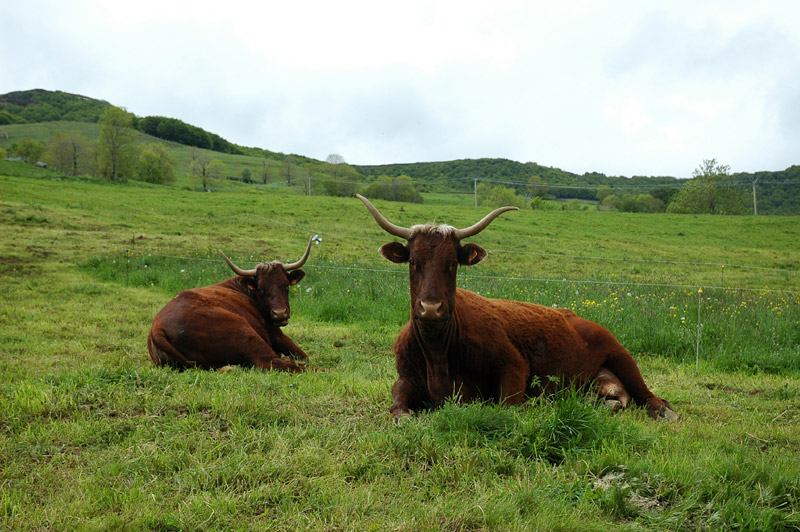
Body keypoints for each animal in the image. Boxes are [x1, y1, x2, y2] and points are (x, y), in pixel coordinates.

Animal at [147, 235, 316, 372]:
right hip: (242, 330)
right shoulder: (276, 335)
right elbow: (304, 356)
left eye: (286, 285)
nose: (280, 314)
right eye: (261, 289)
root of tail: (157, 328)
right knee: (276, 362)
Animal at [356, 193, 676, 422]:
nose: (431, 308)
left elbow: (507, 406)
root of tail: (574, 315)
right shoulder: (405, 377)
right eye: (412, 262)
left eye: (453, 263)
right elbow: (398, 405)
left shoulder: (513, 366)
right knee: (615, 397)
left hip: (621, 354)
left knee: (646, 394)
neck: (437, 353)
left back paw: (662, 411)